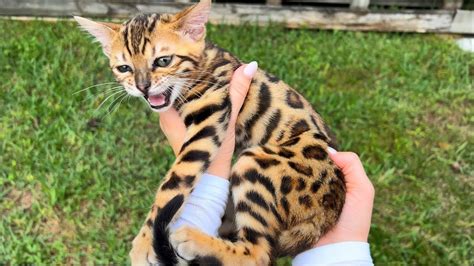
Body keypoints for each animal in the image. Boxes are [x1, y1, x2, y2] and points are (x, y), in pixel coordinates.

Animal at [76, 1, 346, 264]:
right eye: (124, 68)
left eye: (163, 60)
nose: (143, 87)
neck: (203, 64)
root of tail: (330, 211)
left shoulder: (209, 115)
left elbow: (173, 183)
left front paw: (144, 242)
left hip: (255, 162)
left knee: (258, 253)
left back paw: (193, 240)